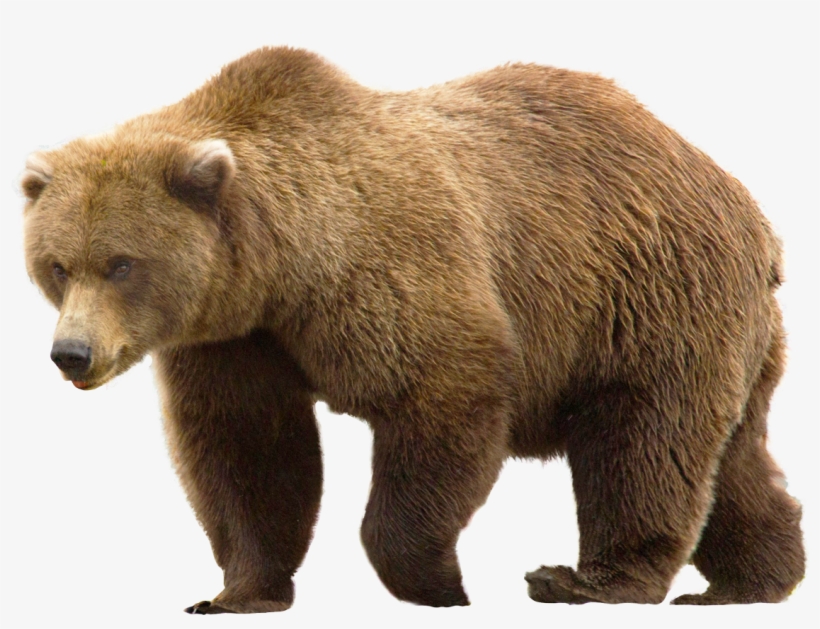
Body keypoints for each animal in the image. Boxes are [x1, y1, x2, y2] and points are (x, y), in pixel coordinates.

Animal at [21, 47, 804, 612]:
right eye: (57, 265)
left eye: (122, 263)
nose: (71, 353)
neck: (281, 268)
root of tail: (746, 207)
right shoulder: (235, 339)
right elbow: (248, 449)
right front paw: (236, 592)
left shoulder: (389, 271)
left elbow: (445, 393)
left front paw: (441, 584)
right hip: (724, 331)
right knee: (732, 458)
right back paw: (751, 580)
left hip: (647, 297)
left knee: (644, 441)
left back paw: (588, 580)